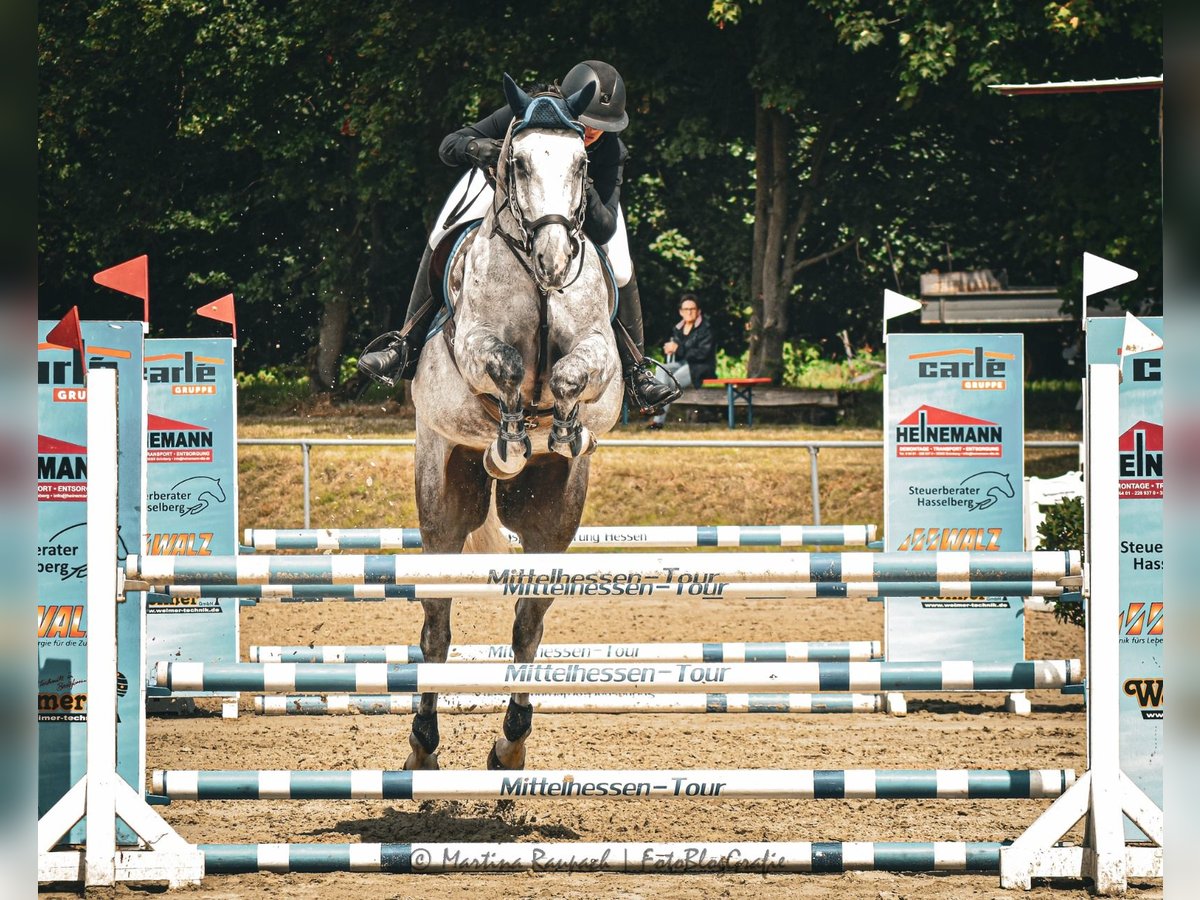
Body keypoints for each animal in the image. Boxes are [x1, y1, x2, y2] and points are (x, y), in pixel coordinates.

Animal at [408, 75, 624, 777]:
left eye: (583, 166)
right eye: (518, 162)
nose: (556, 261)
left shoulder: (600, 354)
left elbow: (574, 377)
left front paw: (561, 428)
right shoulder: (473, 344)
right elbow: (501, 366)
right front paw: (507, 440)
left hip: (553, 516)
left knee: (529, 622)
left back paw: (511, 741)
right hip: (442, 493)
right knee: (437, 626)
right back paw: (423, 744)